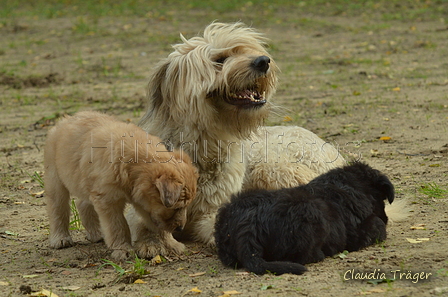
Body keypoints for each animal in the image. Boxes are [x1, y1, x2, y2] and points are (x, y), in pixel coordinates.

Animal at [44, 111, 197, 260]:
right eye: (177, 208)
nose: (181, 228)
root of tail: (66, 119)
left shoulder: (145, 204)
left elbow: (159, 226)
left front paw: (172, 244)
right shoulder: (108, 200)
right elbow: (118, 226)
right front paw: (123, 249)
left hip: (85, 183)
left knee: (82, 204)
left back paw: (96, 233)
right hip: (55, 180)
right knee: (58, 209)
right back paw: (60, 238)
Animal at [138, 22, 344, 245]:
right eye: (219, 60)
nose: (263, 61)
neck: (204, 142)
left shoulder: (214, 208)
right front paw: (152, 242)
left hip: (271, 169)